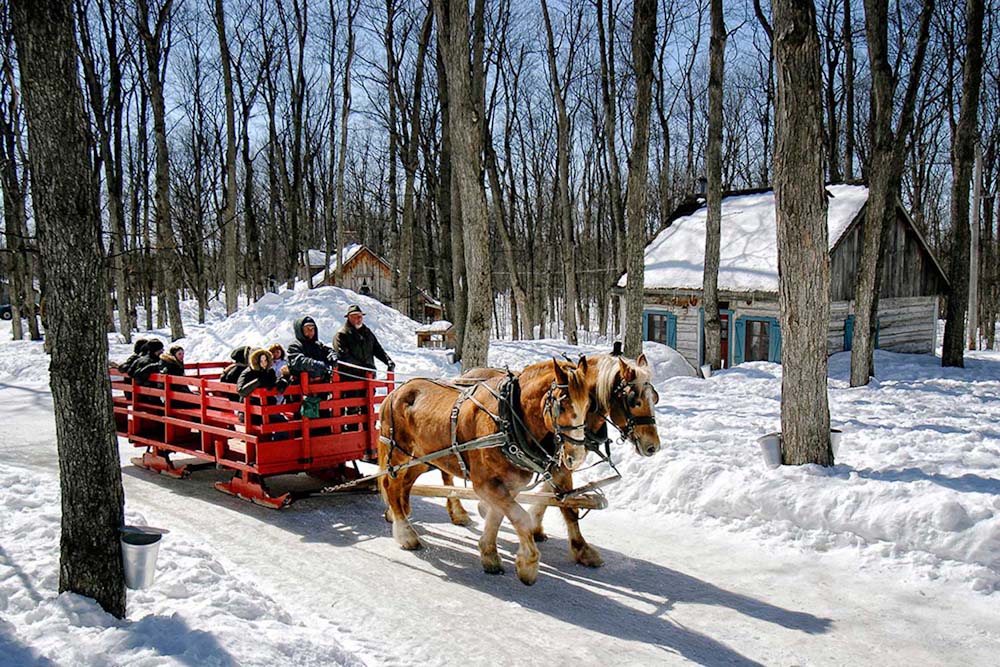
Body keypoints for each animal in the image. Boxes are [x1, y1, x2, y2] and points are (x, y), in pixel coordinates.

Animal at [376, 360, 592, 584]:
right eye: (562, 405)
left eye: (588, 405)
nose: (576, 456)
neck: (507, 419)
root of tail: (395, 392)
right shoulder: (484, 484)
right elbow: (520, 516)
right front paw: (528, 564)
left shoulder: (509, 485)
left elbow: (497, 517)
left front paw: (489, 554)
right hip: (398, 452)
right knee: (391, 485)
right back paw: (405, 533)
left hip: (424, 457)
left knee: (406, 481)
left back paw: (401, 513)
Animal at [442, 352, 660, 568]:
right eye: (633, 401)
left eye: (655, 399)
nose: (653, 446)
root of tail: (467, 374)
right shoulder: (558, 463)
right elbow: (566, 505)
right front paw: (581, 549)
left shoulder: (558, 463)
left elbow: (556, 497)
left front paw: (535, 526)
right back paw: (460, 513)